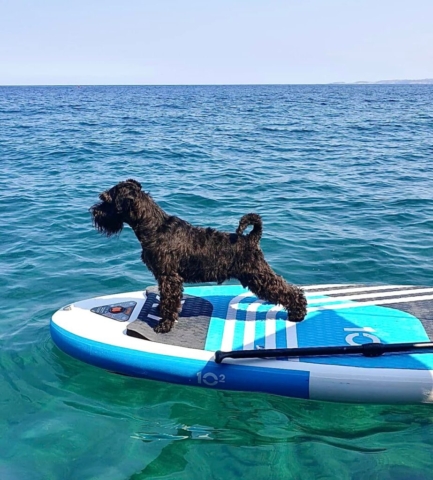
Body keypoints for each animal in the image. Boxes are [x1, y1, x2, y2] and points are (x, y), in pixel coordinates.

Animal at [90, 180, 308, 334]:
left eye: (106, 200)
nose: (94, 211)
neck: (153, 227)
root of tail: (251, 238)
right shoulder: (164, 277)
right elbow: (165, 299)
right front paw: (160, 311)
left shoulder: (170, 278)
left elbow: (170, 300)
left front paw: (165, 324)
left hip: (257, 275)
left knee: (288, 290)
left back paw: (298, 312)